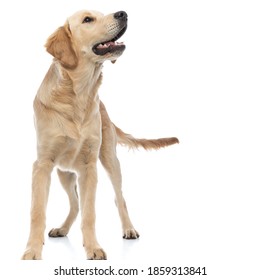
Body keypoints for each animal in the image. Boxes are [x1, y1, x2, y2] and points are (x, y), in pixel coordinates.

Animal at [21, 9, 179, 260]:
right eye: (88, 20)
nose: (122, 13)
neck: (79, 94)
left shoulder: (89, 166)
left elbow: (90, 213)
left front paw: (93, 248)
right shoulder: (42, 165)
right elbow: (37, 212)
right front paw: (33, 251)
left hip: (110, 161)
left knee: (118, 198)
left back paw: (128, 229)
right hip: (64, 172)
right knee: (75, 204)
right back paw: (62, 229)